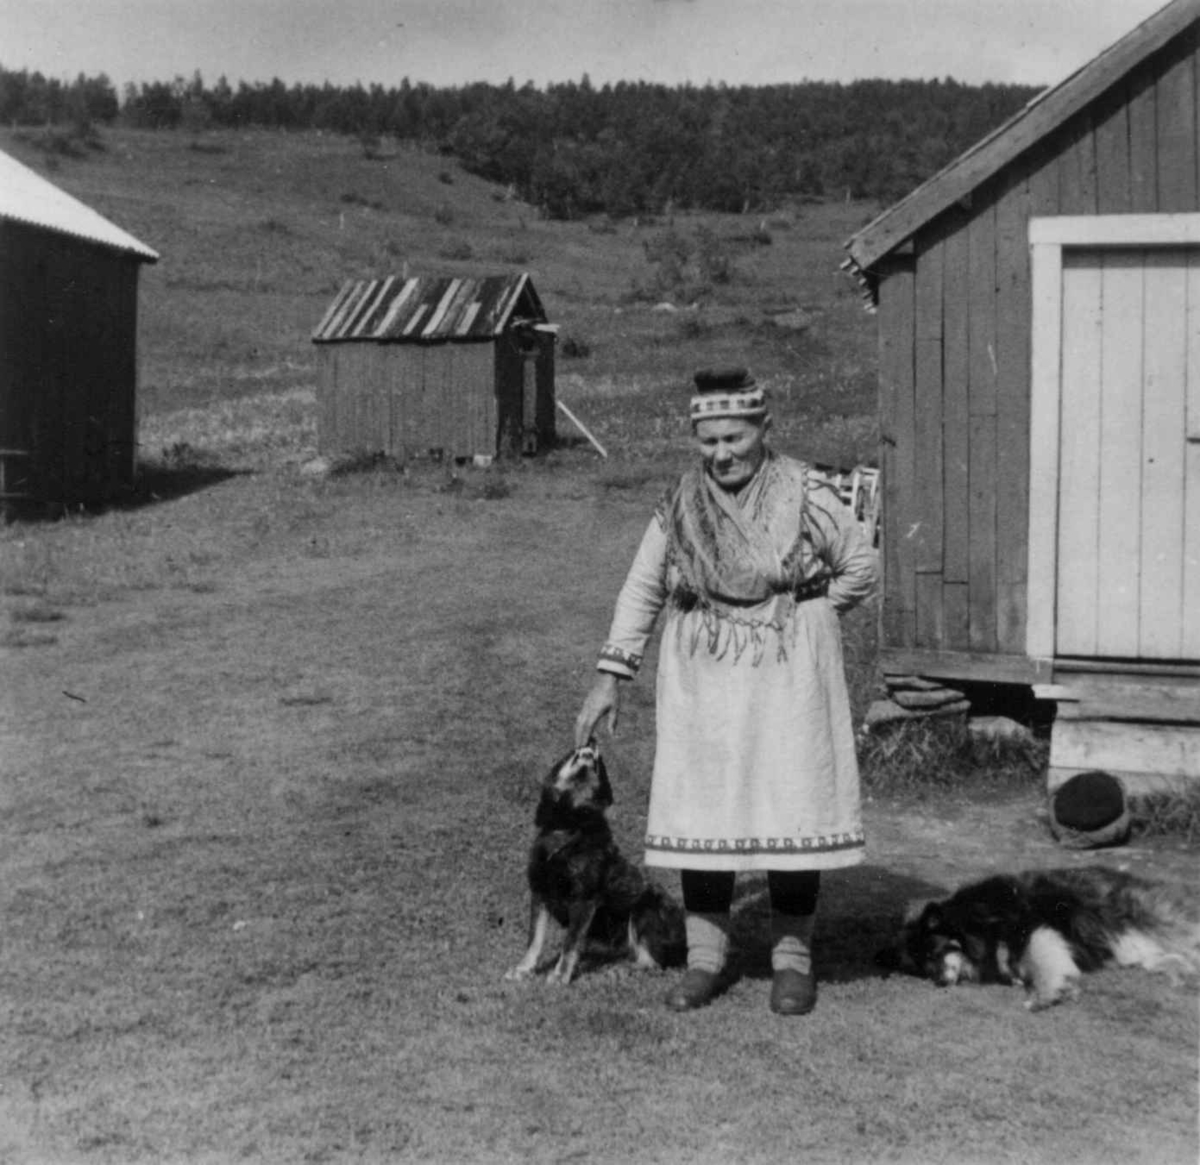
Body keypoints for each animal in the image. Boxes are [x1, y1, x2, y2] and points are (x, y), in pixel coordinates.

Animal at [501, 748, 686, 983]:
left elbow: (570, 943)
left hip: (646, 909)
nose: (590, 745)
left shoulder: (584, 900)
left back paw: (624, 969)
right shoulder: (540, 892)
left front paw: (560, 976)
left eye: (599, 764)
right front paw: (523, 969)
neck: (569, 825)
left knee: (653, 962)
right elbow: (534, 939)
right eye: (570, 754)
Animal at [883, 863, 1200, 1012]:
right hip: (1142, 952)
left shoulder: (1032, 929)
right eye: (921, 969)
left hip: (1159, 922)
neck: (976, 921)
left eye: (933, 953)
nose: (938, 983)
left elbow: (1037, 960)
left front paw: (1046, 995)